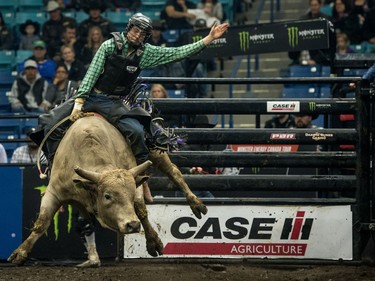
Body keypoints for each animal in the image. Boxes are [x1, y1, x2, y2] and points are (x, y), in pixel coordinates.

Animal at [7, 113, 209, 264]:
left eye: (129, 195)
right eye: (107, 196)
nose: (132, 225)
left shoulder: (133, 178)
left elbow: (141, 210)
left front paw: (154, 243)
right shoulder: (54, 192)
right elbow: (42, 222)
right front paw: (20, 253)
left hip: (155, 149)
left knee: (174, 172)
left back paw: (196, 204)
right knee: (85, 223)